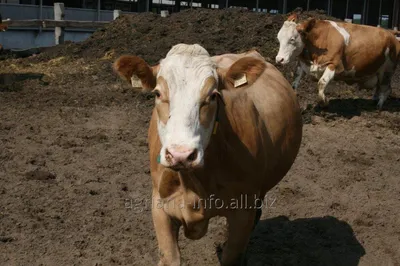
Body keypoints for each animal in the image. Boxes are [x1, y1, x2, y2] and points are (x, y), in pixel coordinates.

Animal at [111, 44, 300, 266]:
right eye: (157, 93)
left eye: (213, 95)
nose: (181, 155)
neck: (193, 185)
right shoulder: (159, 206)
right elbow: (170, 257)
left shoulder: (243, 211)